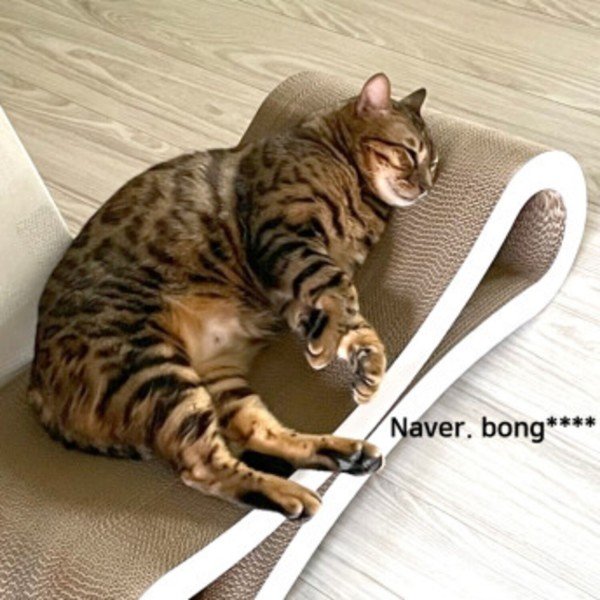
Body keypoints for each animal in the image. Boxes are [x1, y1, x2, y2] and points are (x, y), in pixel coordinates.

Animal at [29, 73, 438, 519]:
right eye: (409, 153)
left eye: (432, 164)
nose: (425, 187)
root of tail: (36, 392)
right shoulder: (282, 234)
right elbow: (339, 291)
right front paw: (329, 350)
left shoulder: (291, 288)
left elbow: (344, 313)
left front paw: (364, 359)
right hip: (153, 368)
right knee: (202, 466)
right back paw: (291, 493)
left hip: (216, 377)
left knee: (254, 430)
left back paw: (343, 455)